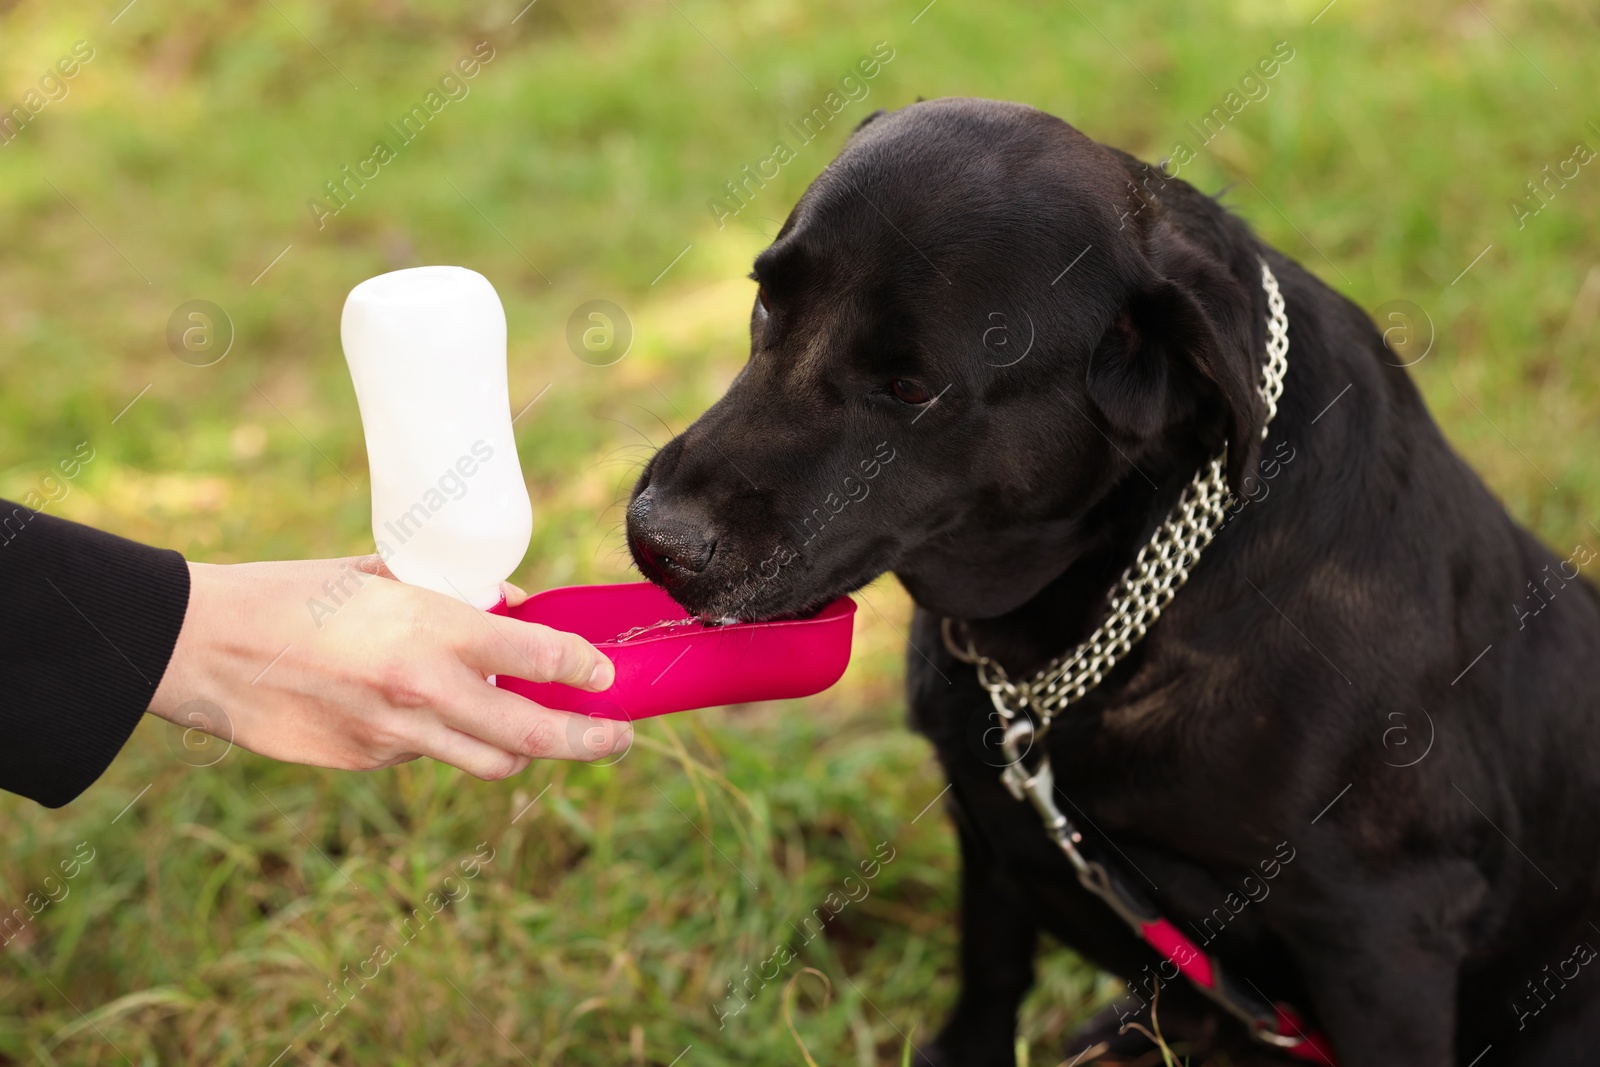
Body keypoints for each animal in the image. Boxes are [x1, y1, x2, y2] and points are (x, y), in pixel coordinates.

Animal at [620, 95, 1600, 1062]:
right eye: (764, 298)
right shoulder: (992, 824)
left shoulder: (1385, 933)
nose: (657, 537)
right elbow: (990, 970)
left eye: (910, 389)